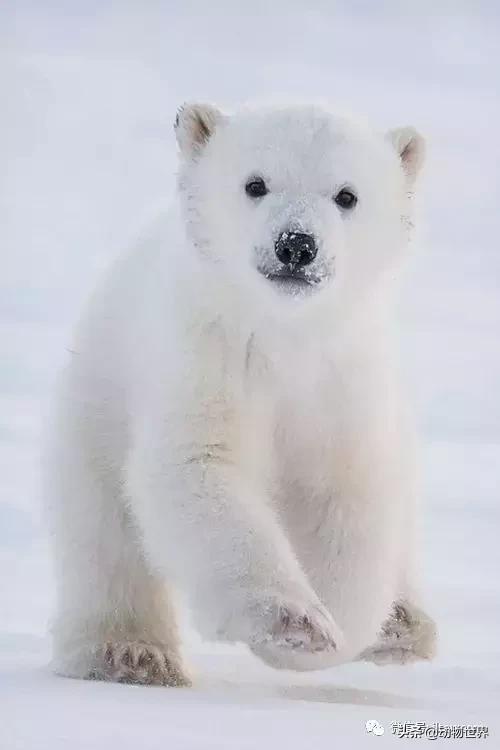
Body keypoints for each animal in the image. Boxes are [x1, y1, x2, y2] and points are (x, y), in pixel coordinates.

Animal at [47, 101, 438, 688]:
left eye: (347, 195)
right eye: (255, 184)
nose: (296, 245)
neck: (281, 334)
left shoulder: (341, 385)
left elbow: (348, 499)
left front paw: (336, 630)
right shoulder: (207, 359)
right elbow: (199, 468)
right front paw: (294, 622)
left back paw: (404, 625)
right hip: (96, 411)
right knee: (104, 540)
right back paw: (130, 653)